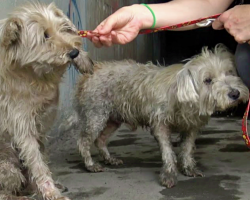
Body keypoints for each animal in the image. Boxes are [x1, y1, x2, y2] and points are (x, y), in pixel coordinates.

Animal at [0, 1, 93, 200]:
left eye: (63, 28)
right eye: (45, 36)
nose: (74, 52)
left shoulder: (41, 127)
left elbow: (41, 158)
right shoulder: (23, 129)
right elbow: (37, 164)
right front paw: (50, 192)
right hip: (8, 169)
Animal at [73, 44, 249, 189]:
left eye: (229, 72)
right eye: (208, 80)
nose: (235, 93)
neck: (182, 95)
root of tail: (92, 70)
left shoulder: (191, 127)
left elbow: (187, 149)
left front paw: (189, 168)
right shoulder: (160, 125)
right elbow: (168, 151)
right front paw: (169, 175)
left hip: (113, 119)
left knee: (100, 140)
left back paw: (110, 159)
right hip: (97, 115)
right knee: (84, 140)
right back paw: (90, 164)